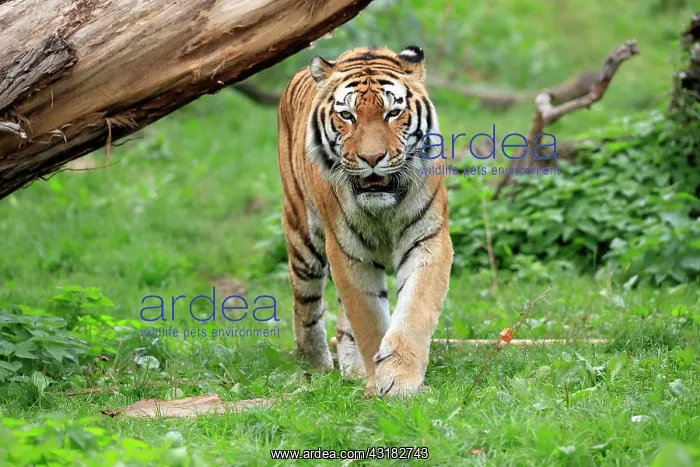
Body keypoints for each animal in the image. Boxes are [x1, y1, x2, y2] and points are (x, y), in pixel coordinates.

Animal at [276, 45, 453, 397]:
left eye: (392, 113)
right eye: (347, 116)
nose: (372, 159)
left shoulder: (428, 239)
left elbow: (415, 309)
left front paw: (399, 379)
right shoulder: (347, 251)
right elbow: (368, 319)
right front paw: (377, 382)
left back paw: (351, 369)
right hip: (302, 239)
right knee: (305, 304)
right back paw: (316, 365)